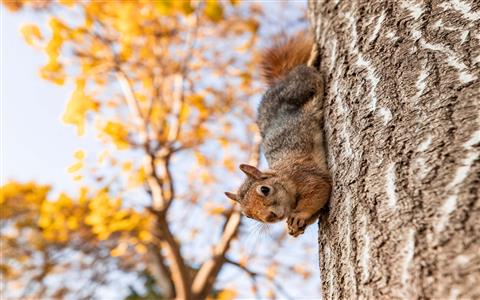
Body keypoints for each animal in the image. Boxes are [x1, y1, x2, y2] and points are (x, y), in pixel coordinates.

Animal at [224, 32, 330, 237]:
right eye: (248, 215)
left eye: (265, 190)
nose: (270, 217)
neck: (284, 174)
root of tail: (279, 80)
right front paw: (294, 228)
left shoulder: (307, 174)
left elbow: (319, 190)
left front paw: (298, 216)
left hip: (302, 86)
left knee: (308, 72)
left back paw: (312, 57)